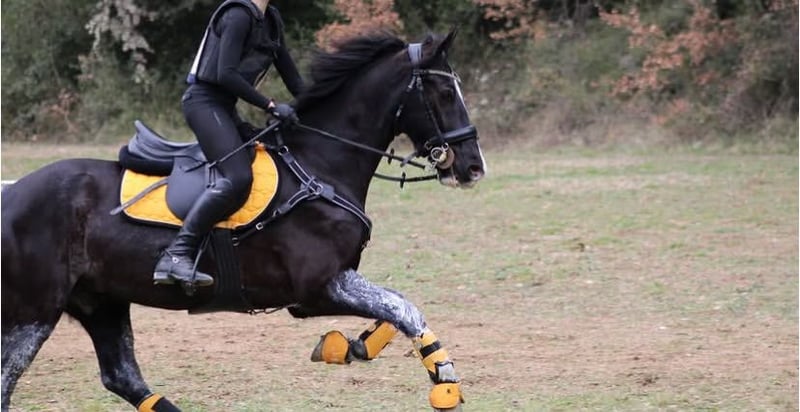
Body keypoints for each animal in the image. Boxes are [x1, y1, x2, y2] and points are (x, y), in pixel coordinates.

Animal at [1, 30, 485, 412]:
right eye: (445, 94)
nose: (473, 167)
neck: (320, 165)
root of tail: (12, 192)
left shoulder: (337, 280)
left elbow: (393, 306)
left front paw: (351, 347)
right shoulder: (317, 287)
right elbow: (404, 307)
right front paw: (445, 381)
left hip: (101, 301)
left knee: (122, 376)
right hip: (35, 310)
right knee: (11, 378)